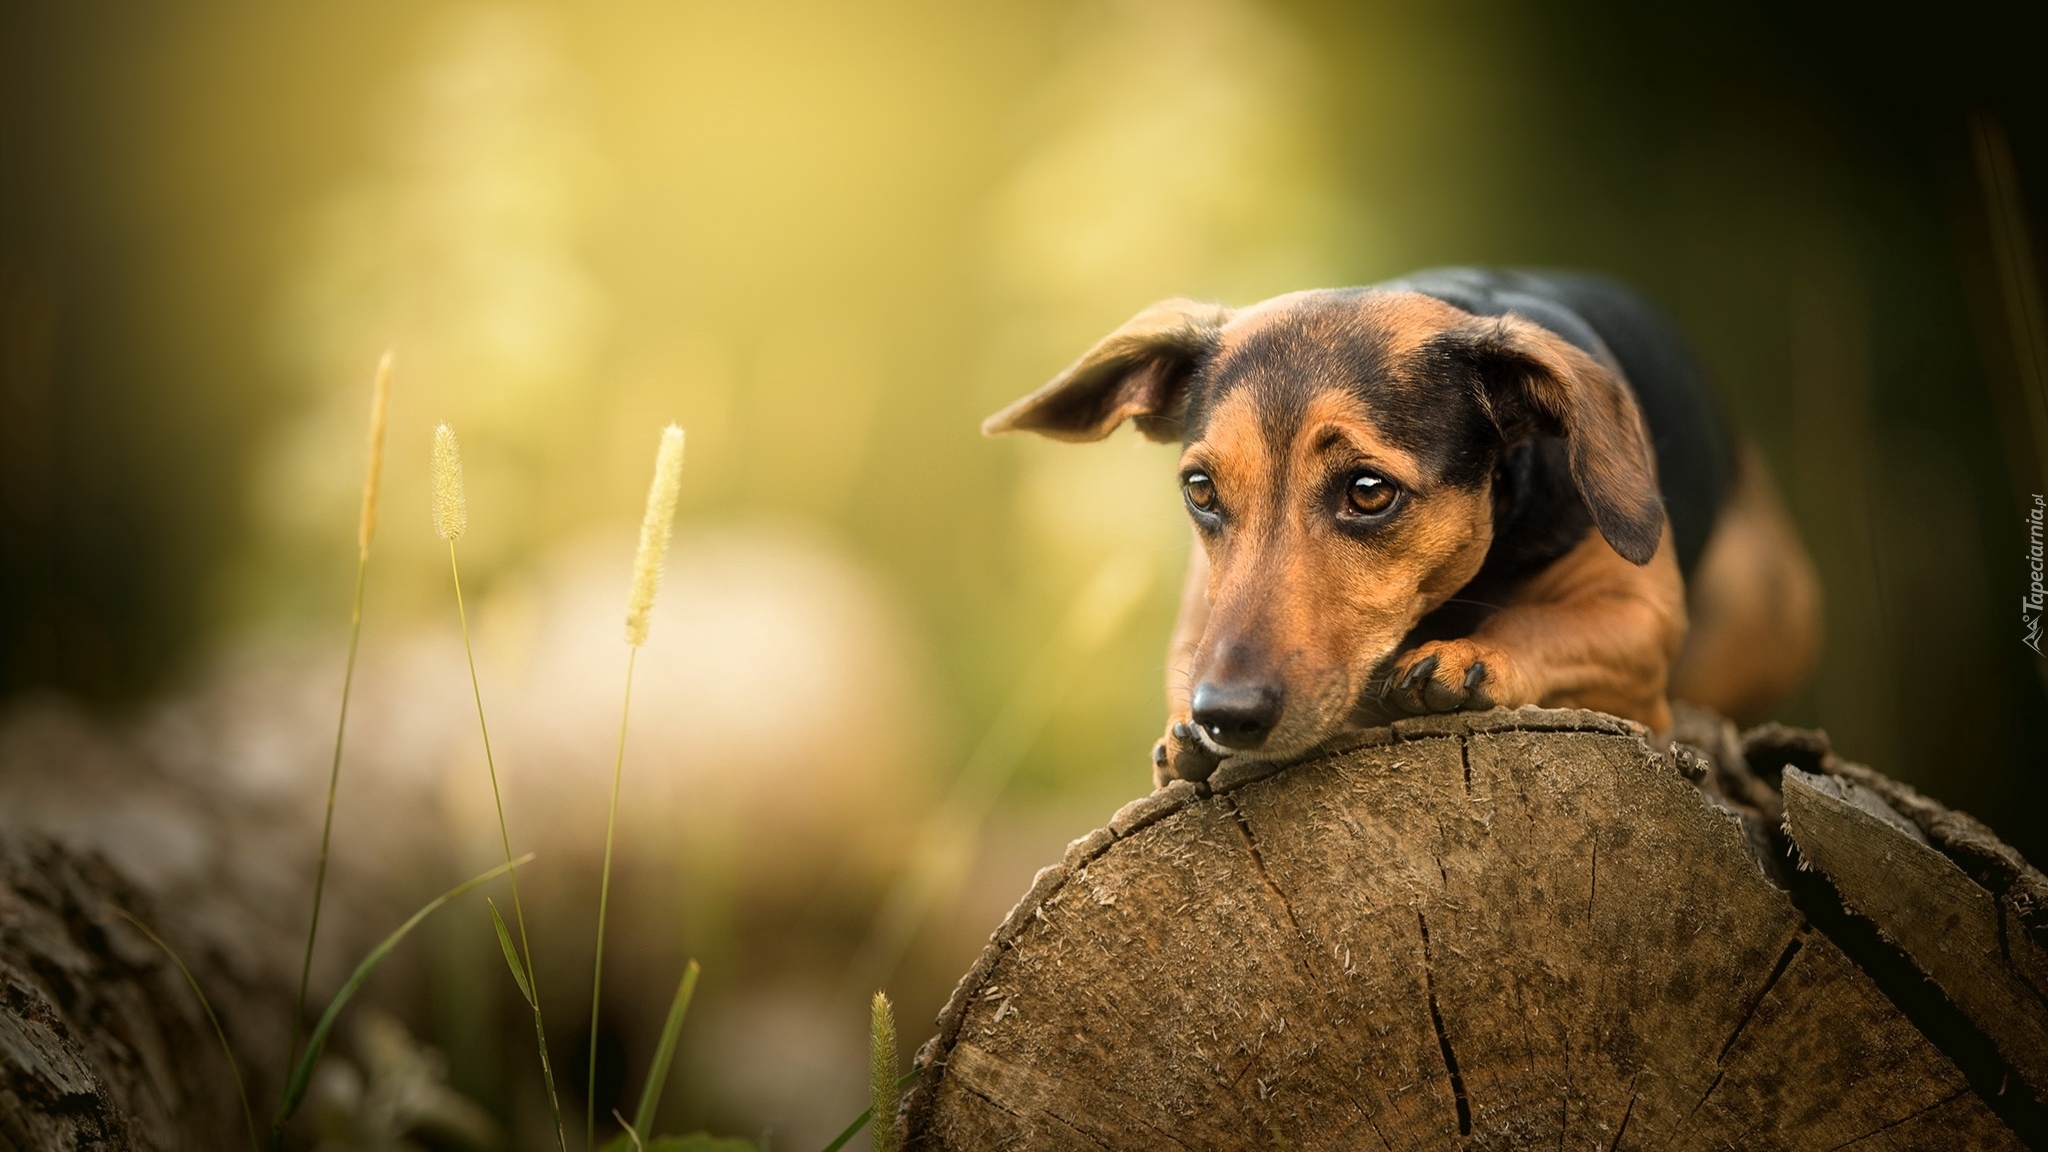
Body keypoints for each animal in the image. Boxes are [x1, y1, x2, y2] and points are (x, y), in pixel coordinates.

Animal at [983, 268, 1818, 783]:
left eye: (1368, 491)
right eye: (1200, 489)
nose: (1224, 715)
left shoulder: (1643, 620)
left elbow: (1542, 625)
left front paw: (1470, 659)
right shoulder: (1198, 625)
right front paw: (1180, 737)